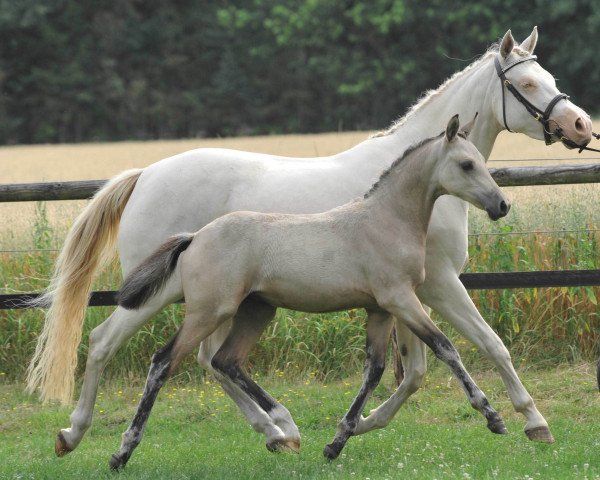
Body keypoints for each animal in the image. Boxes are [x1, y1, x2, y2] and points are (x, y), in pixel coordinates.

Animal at [109, 115, 510, 468]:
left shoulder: (380, 310)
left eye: (480, 160)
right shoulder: (401, 299)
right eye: (466, 164)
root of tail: (195, 237)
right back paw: (122, 453)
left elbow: (375, 370)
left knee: (227, 361)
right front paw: (493, 417)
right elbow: (446, 347)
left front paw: (336, 443)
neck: (386, 220)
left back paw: (283, 427)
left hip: (256, 311)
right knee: (164, 362)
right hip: (209, 312)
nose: (502, 205)